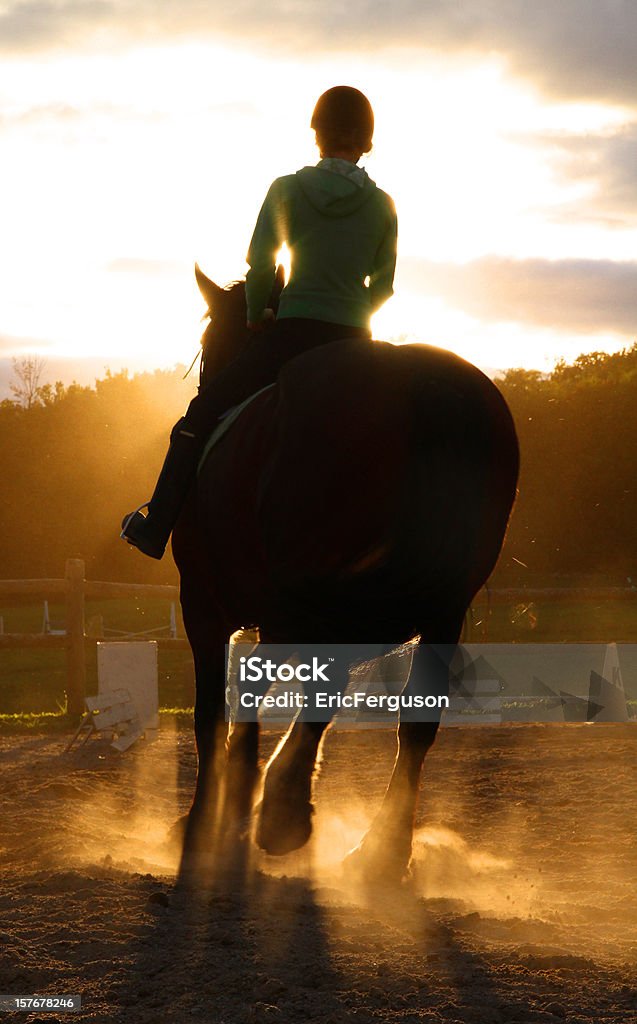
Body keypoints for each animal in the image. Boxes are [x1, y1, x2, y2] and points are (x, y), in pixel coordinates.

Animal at [172, 268, 522, 884]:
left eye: (210, 343)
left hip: (332, 596)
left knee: (327, 686)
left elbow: (215, 706)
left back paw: (284, 811)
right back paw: (378, 849)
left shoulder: (207, 606)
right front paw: (238, 793)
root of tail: (424, 387)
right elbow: (252, 683)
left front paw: (210, 818)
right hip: (437, 607)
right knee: (414, 720)